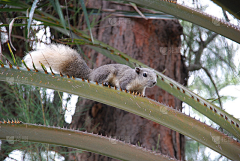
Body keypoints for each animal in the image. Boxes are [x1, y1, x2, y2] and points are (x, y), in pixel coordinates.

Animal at [23, 43, 157, 95]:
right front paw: (127, 91)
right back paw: (105, 83)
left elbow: (141, 93)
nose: (155, 82)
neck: (138, 84)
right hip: (107, 72)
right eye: (145, 74)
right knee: (99, 80)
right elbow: (123, 85)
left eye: (156, 76)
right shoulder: (126, 79)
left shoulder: (141, 89)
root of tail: (91, 74)